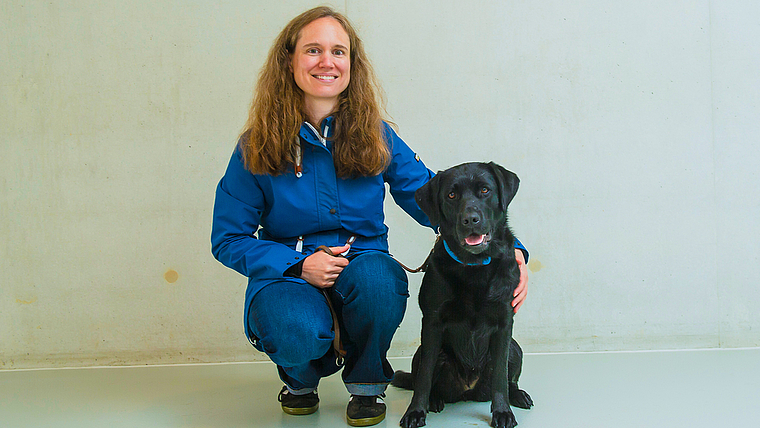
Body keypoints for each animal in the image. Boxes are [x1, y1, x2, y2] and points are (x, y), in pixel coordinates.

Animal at [394, 162, 532, 426]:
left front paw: (502, 412)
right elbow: (424, 376)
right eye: (451, 195)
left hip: (515, 348)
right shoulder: (432, 323)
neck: (474, 266)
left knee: (509, 377)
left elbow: (500, 376)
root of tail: (469, 390)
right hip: (425, 352)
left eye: (485, 190)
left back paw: (518, 395)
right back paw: (434, 401)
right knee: (423, 375)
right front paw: (415, 411)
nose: (470, 220)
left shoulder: (504, 323)